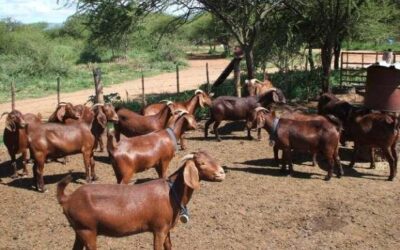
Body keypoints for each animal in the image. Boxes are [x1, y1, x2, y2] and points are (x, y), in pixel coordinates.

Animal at [57, 150, 225, 250]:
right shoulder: (159, 228)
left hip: (79, 230)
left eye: (213, 158)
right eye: (201, 163)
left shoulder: (167, 228)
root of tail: (67, 198)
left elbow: (169, 246)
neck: (172, 192)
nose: (221, 173)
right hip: (87, 230)